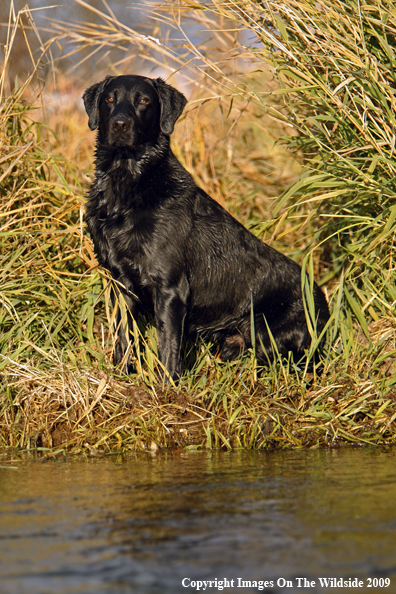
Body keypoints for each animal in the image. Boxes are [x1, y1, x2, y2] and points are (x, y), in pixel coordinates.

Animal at [82, 75, 330, 380]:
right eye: (109, 99)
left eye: (143, 101)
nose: (119, 124)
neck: (127, 185)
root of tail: (324, 302)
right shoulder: (121, 284)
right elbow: (123, 336)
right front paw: (121, 375)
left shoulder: (171, 288)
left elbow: (168, 348)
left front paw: (166, 386)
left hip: (265, 333)